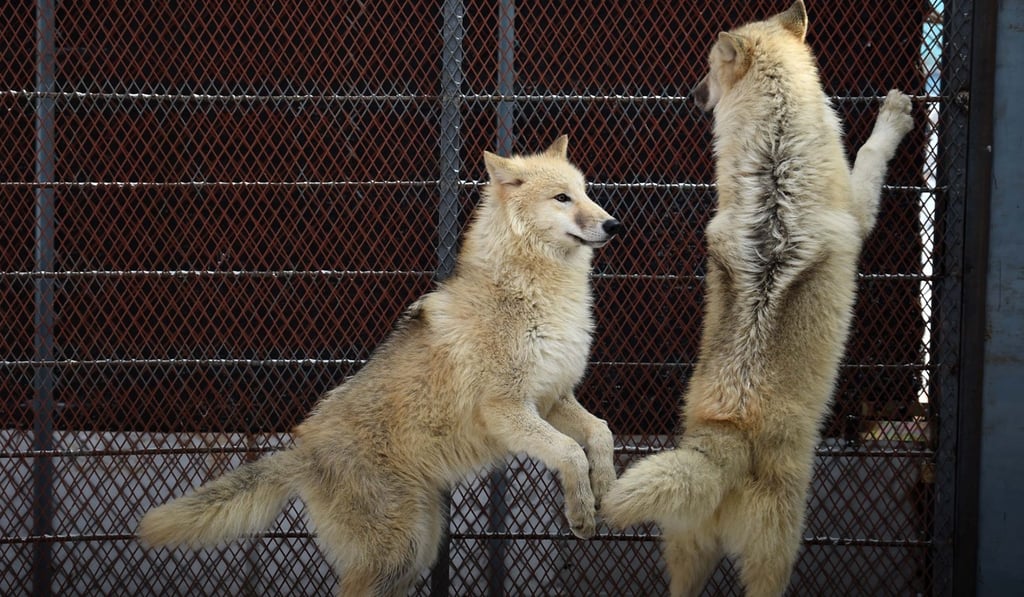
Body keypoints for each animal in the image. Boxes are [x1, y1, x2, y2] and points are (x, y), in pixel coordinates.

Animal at [138, 136, 623, 595]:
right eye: (562, 198)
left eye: (585, 192)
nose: (613, 225)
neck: (533, 292)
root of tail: (302, 451)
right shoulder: (506, 409)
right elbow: (570, 451)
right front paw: (581, 514)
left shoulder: (553, 398)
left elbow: (600, 433)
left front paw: (606, 490)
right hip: (395, 554)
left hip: (415, 553)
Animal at [599, 2, 913, 596]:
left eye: (705, 70)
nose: (690, 95)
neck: (776, 152)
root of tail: (724, 443)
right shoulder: (859, 211)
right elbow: (870, 150)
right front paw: (895, 114)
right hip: (779, 550)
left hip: (688, 552)